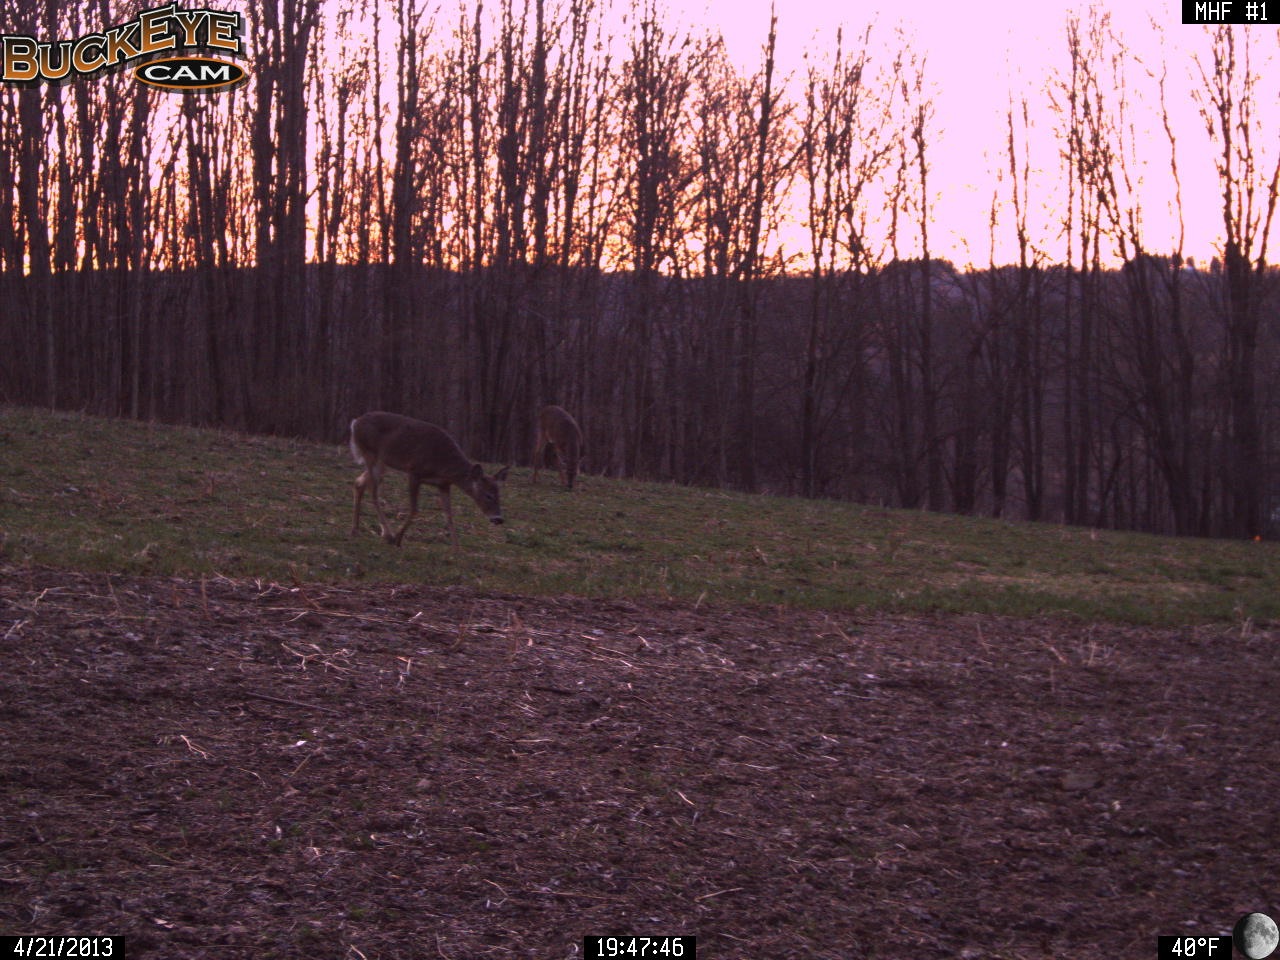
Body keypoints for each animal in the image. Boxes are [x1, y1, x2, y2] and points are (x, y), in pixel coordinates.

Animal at [353, 412, 512, 547]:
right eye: (488, 495)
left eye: (499, 494)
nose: (499, 519)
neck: (444, 466)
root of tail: (356, 422)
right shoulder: (414, 472)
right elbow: (414, 510)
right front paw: (398, 540)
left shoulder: (444, 485)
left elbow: (449, 516)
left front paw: (457, 549)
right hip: (370, 454)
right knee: (373, 491)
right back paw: (387, 534)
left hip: (382, 462)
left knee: (359, 483)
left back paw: (355, 530)